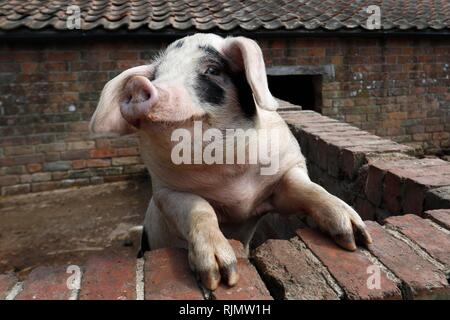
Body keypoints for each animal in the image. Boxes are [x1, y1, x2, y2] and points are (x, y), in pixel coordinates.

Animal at [89, 32, 370, 290]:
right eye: (156, 75)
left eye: (212, 69)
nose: (137, 84)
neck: (231, 182)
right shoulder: (165, 193)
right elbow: (200, 209)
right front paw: (221, 277)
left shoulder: (288, 169)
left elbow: (309, 189)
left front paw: (357, 240)